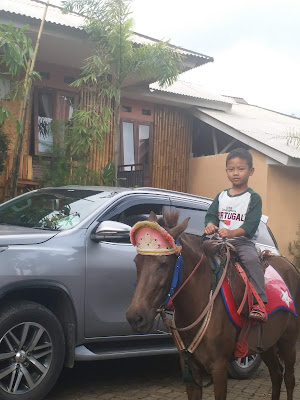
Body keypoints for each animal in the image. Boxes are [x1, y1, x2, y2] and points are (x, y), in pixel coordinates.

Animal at [126, 211, 300, 398]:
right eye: (136, 261)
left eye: (164, 264)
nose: (136, 317)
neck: (199, 304)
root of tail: (291, 266)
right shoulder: (190, 368)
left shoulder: (219, 368)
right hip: (267, 343)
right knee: (276, 374)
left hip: (288, 340)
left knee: (289, 379)